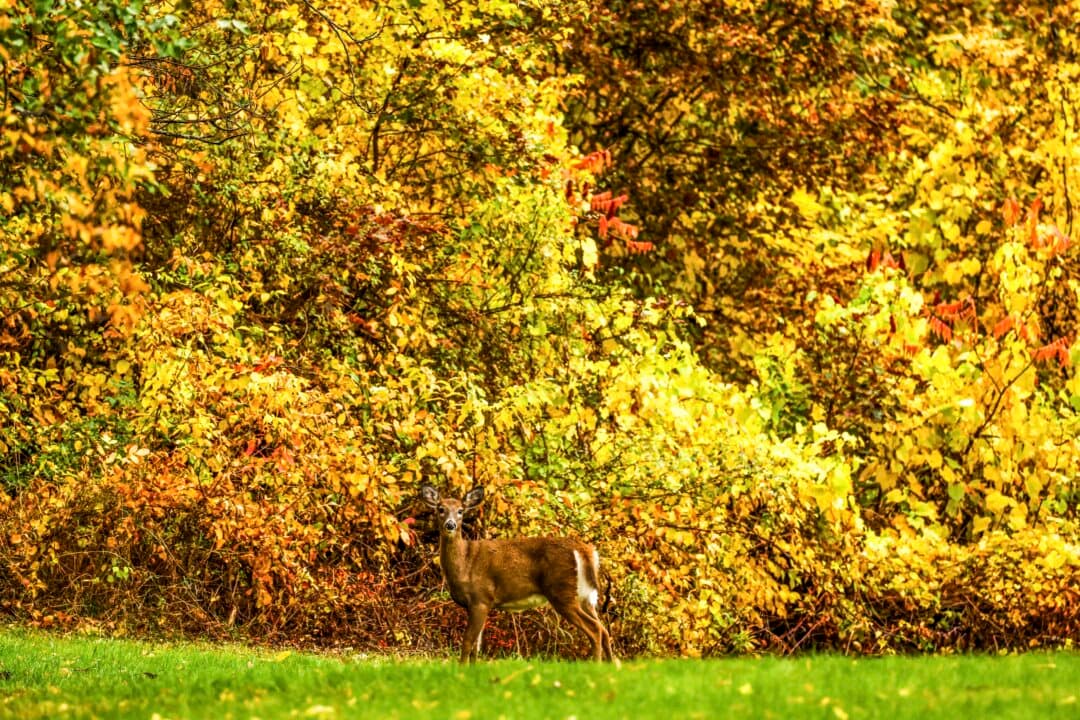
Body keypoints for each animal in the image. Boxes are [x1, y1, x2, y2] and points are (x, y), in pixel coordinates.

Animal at [420, 485, 615, 663]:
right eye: (441, 509)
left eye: (460, 511)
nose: (450, 524)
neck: (464, 562)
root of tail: (585, 550)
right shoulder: (478, 604)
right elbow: (476, 646)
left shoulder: (481, 598)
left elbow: (468, 642)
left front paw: (461, 670)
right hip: (585, 597)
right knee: (604, 630)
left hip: (562, 591)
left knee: (595, 629)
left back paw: (596, 664)